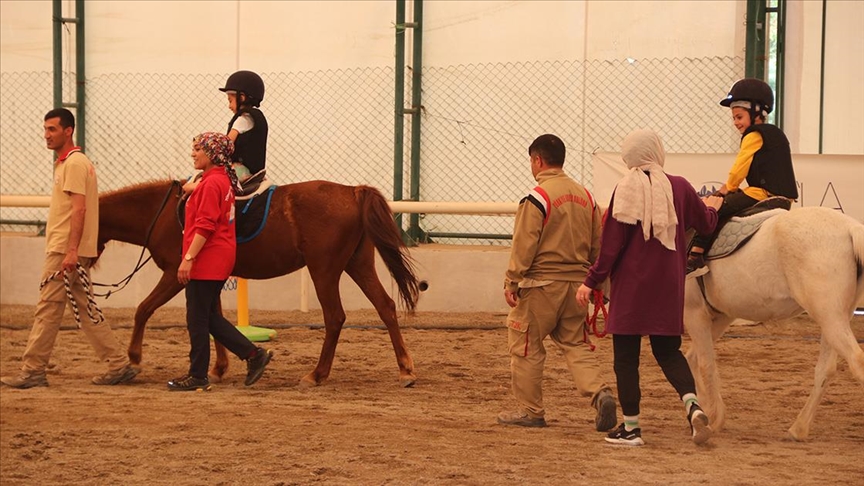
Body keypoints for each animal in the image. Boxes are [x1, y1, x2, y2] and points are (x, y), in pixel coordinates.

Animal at [96, 179, 420, 388]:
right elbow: (213, 319)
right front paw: (219, 368)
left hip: (324, 270)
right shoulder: (206, 280)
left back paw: (316, 374)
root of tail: (352, 192)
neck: (162, 213)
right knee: (386, 307)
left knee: (335, 318)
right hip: (358, 265)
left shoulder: (176, 275)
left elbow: (144, 309)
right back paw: (405, 370)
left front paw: (134, 359)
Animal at [680, 205, 864, 440]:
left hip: (830, 317)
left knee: (856, 361)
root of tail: (850, 228)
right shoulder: (721, 317)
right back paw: (798, 428)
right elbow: (693, 358)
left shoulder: (694, 313)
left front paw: (714, 418)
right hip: (834, 318)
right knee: (826, 369)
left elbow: (705, 363)